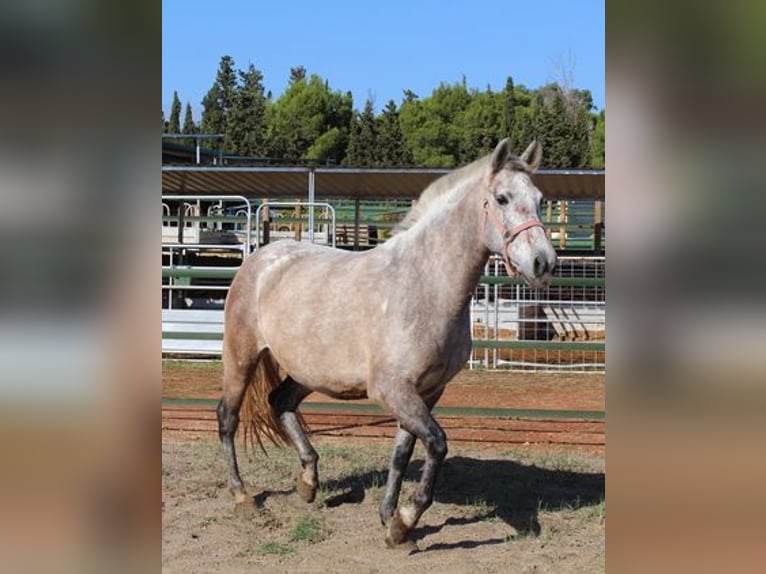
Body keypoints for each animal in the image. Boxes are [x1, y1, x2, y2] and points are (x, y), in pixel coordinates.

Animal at [216, 140, 560, 548]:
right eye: (502, 198)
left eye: (539, 199)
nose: (543, 262)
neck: (423, 285)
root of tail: (261, 257)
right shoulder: (392, 390)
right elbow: (437, 443)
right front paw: (406, 520)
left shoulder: (427, 391)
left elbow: (403, 452)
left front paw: (392, 521)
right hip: (241, 357)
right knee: (228, 417)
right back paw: (242, 496)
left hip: (308, 372)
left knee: (280, 402)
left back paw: (308, 482)